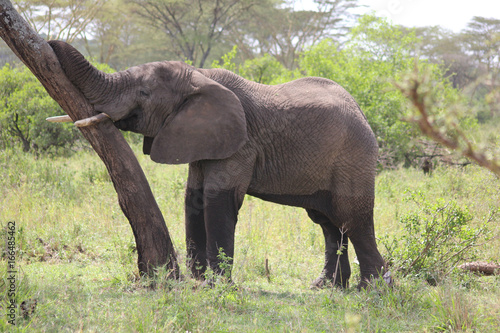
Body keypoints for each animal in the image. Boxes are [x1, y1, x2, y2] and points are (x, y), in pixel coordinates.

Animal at [48, 39, 388, 288]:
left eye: (144, 92)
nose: (50, 41)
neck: (199, 75)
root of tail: (361, 112)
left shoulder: (241, 144)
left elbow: (217, 199)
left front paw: (216, 285)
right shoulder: (200, 137)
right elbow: (193, 198)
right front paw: (199, 280)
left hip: (354, 156)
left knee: (353, 218)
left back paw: (373, 289)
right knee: (328, 222)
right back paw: (326, 286)